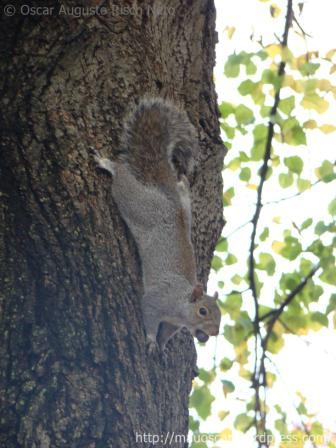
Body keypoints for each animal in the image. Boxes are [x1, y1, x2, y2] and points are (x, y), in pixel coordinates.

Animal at [94, 97, 222, 350]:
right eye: (203, 311)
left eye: (220, 315)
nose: (214, 332)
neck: (181, 307)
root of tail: (168, 197)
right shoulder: (157, 300)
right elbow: (149, 315)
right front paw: (152, 340)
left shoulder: (173, 324)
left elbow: (167, 332)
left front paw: (162, 345)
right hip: (137, 204)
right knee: (122, 179)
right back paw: (108, 165)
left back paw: (182, 184)